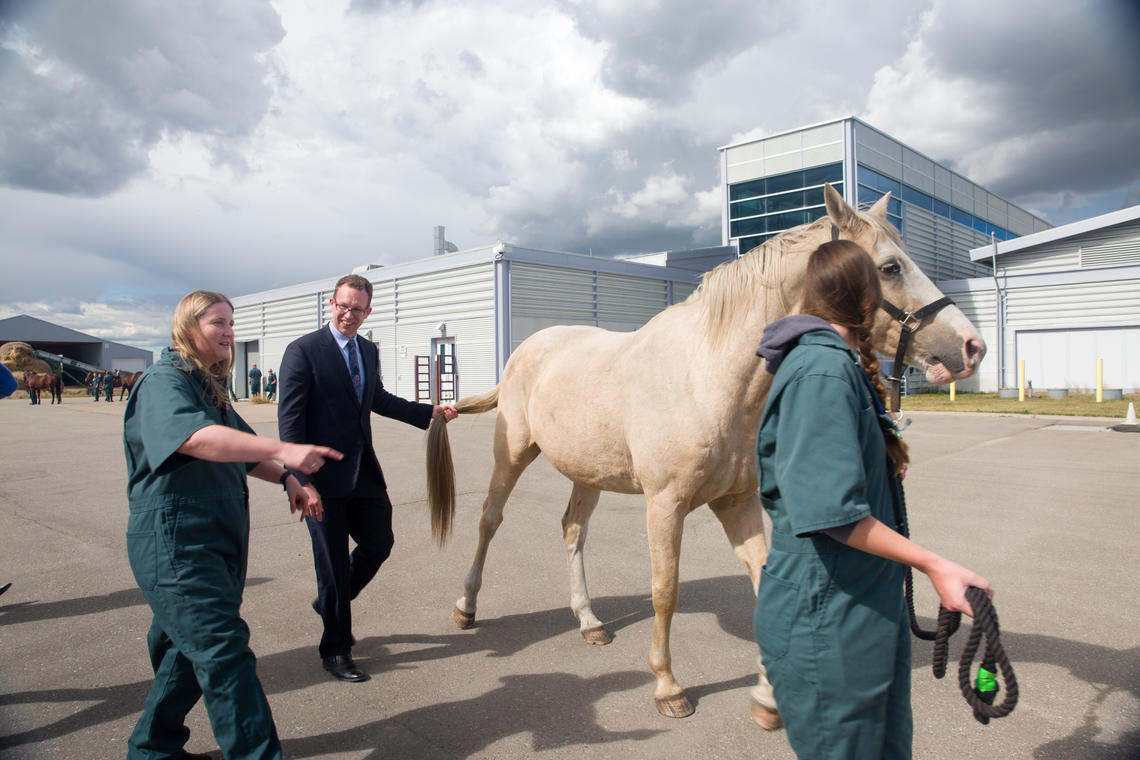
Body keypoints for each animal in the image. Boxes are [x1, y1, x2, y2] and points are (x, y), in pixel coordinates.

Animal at [426, 184, 980, 724]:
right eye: (890, 267)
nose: (972, 346)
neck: (709, 376)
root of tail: (526, 349)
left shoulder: (737, 502)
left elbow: (763, 578)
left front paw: (768, 696)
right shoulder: (664, 505)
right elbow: (664, 590)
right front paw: (668, 686)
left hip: (589, 473)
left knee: (572, 531)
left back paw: (588, 620)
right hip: (514, 454)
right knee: (489, 519)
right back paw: (465, 606)